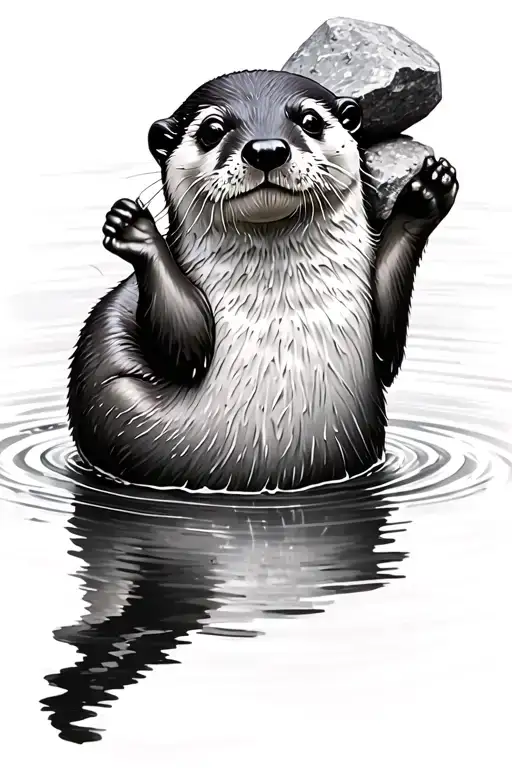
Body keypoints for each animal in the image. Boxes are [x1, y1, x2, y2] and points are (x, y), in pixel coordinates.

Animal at [68, 69, 458, 493]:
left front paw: (426, 195)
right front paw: (134, 228)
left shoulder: (380, 318)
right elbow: (185, 347)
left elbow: (389, 341)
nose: (266, 150)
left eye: (310, 121)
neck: (279, 314)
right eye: (212, 130)